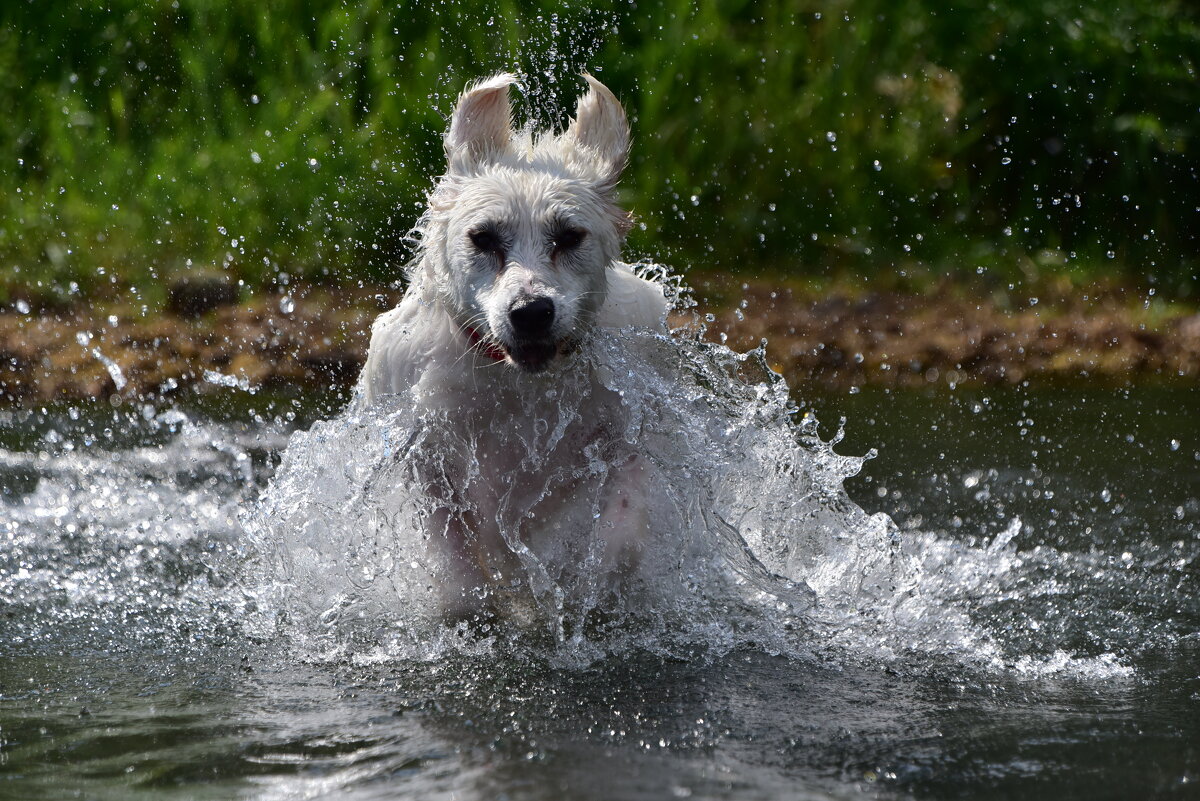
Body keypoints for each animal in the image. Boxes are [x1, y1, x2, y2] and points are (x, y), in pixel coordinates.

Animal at [360, 73, 672, 618]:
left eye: (569, 236)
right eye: (484, 238)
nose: (530, 312)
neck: (515, 380)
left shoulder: (632, 416)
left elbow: (628, 504)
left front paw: (596, 582)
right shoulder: (423, 438)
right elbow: (451, 550)